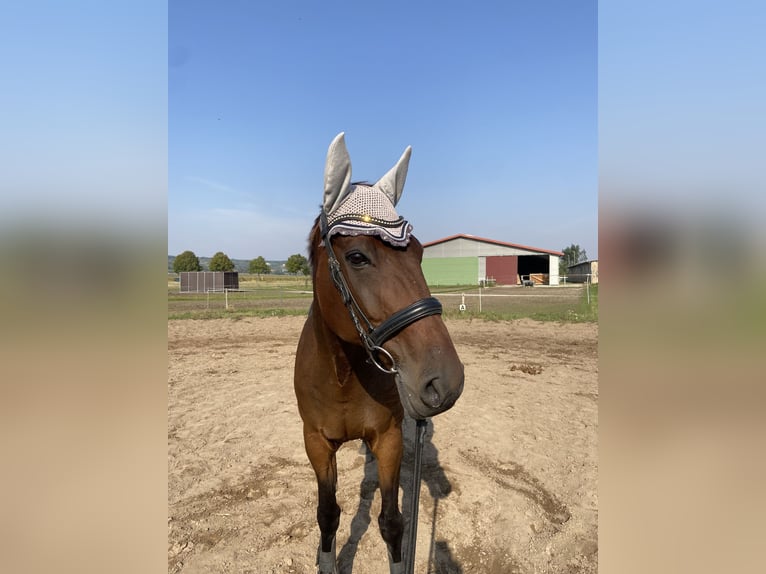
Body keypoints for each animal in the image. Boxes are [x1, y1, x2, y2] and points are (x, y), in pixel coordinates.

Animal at [292, 133, 462, 572]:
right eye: (357, 256)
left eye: (419, 253)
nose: (447, 381)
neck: (343, 375)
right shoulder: (316, 443)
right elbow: (328, 513)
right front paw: (326, 560)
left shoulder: (389, 440)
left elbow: (391, 521)